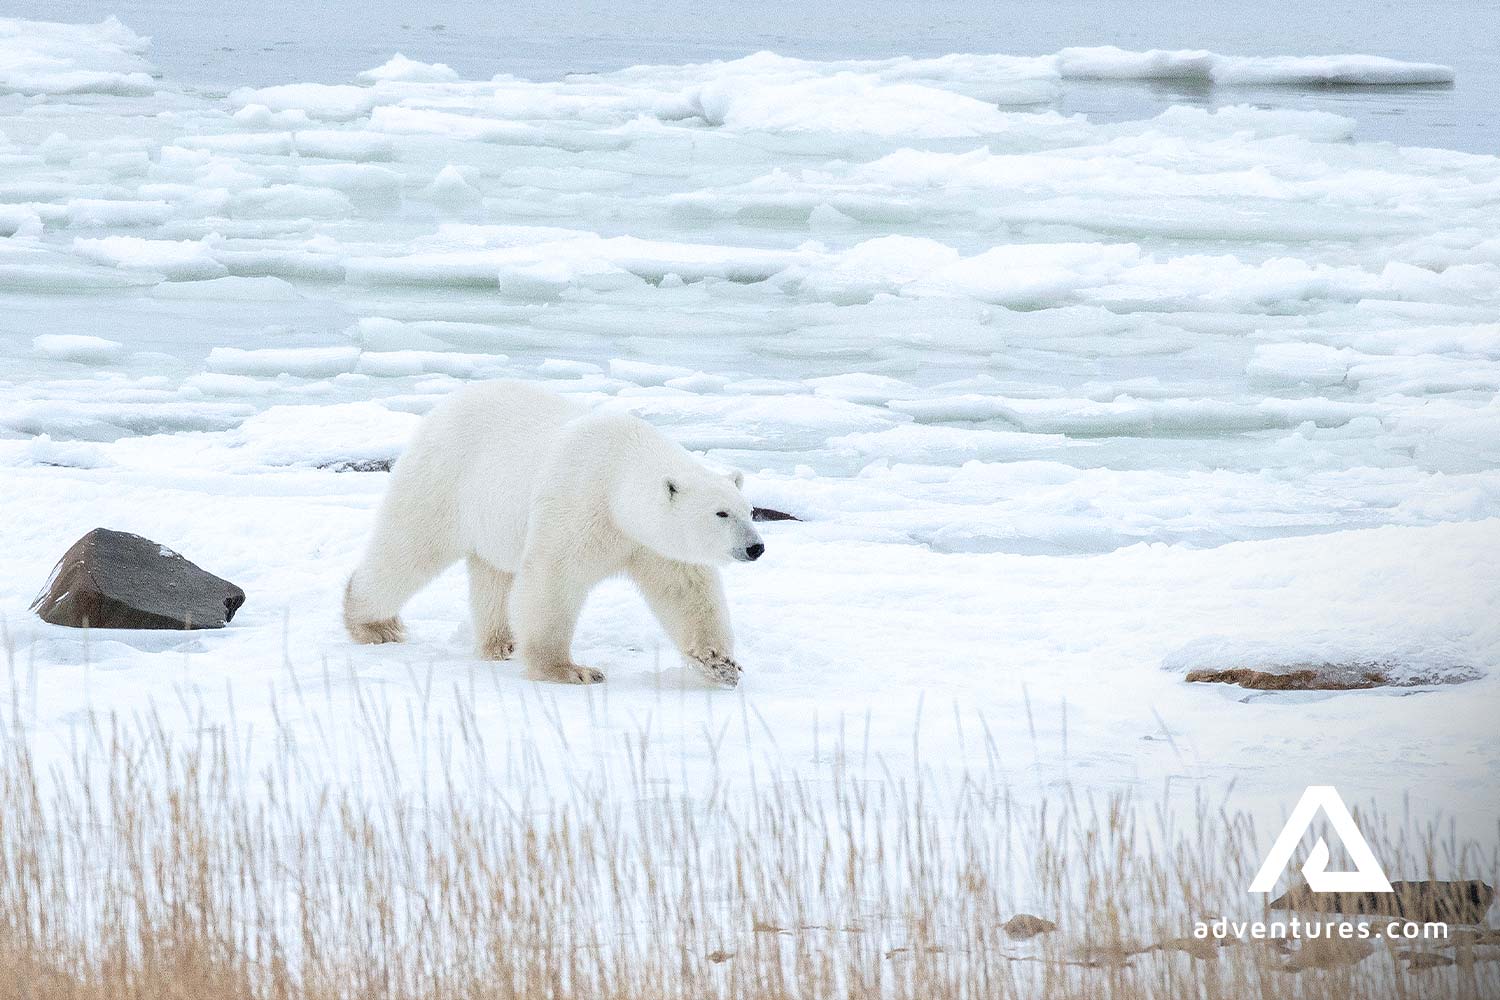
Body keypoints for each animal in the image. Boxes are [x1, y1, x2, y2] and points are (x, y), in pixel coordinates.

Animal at [342, 381, 764, 686]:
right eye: (721, 513)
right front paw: (570, 670)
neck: (619, 472)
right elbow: (553, 578)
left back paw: (502, 643)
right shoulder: (579, 501)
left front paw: (721, 664)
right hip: (444, 479)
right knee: (409, 547)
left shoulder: (652, 542)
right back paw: (374, 624)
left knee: (494, 574)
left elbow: (686, 592)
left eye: (749, 510)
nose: (755, 547)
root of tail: (446, 405)